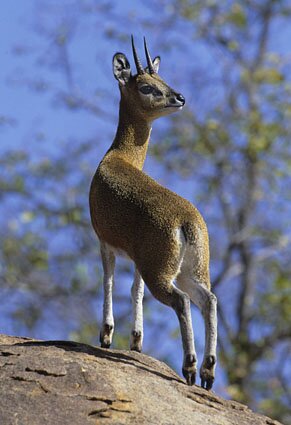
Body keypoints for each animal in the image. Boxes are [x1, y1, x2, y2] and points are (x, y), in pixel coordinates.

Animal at [90, 35, 218, 388]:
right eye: (148, 85)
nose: (180, 97)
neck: (119, 157)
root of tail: (187, 223)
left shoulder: (105, 241)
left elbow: (108, 280)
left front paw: (107, 335)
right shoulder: (135, 256)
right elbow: (135, 290)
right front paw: (136, 340)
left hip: (161, 271)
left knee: (182, 301)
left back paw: (190, 368)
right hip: (190, 270)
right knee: (209, 300)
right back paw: (207, 372)